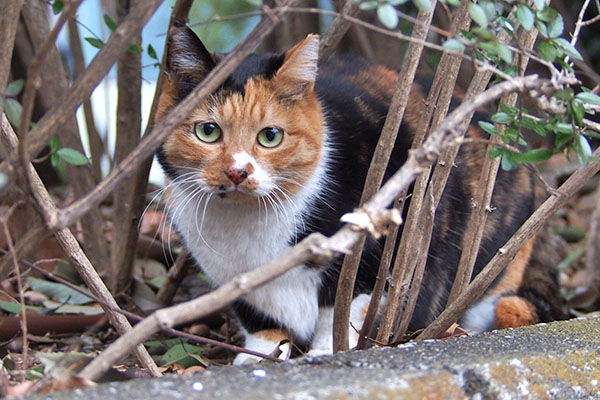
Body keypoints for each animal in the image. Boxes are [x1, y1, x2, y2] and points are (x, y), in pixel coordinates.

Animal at [154, 23, 564, 364]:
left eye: (270, 136)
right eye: (208, 131)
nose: (238, 171)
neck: (245, 228)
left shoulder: (377, 252)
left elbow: (342, 309)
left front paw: (324, 354)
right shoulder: (236, 282)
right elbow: (261, 322)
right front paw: (256, 358)